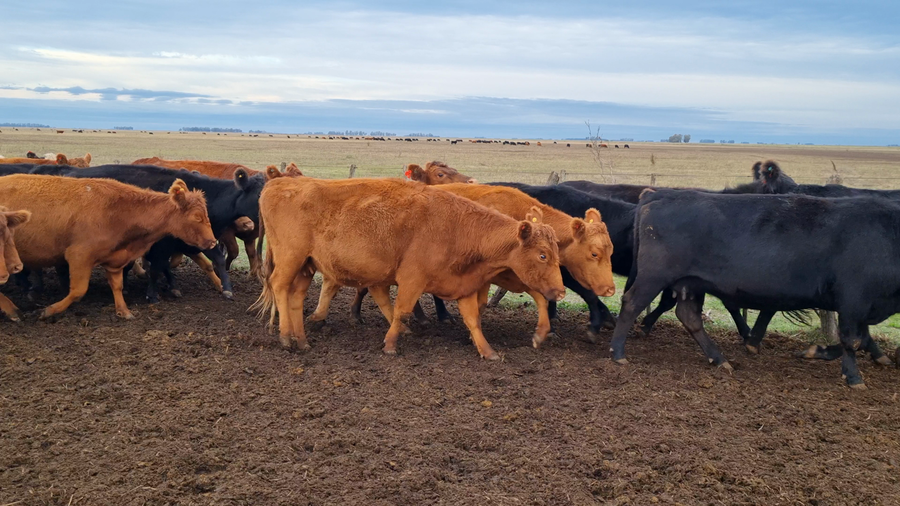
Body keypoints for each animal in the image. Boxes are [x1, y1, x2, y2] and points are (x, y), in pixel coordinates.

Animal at [0, 175, 215, 321]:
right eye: (197, 217)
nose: (213, 241)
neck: (118, 210)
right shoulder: (79, 256)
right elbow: (78, 291)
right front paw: (48, 311)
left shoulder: (115, 259)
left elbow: (117, 286)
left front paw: (124, 311)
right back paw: (13, 310)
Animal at [252, 177, 566, 359]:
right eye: (542, 255)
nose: (561, 291)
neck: (458, 227)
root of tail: (277, 184)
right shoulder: (413, 279)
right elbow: (401, 310)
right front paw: (391, 345)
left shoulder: (463, 285)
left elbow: (473, 320)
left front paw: (488, 352)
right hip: (291, 258)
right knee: (279, 287)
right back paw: (285, 337)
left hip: (306, 266)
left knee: (295, 296)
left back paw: (302, 339)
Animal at [611, 189, 900, 388]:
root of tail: (659, 194)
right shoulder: (853, 300)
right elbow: (853, 340)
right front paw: (853, 376)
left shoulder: (862, 306)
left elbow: (861, 338)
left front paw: (819, 352)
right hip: (654, 276)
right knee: (631, 304)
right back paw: (617, 353)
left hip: (689, 283)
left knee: (689, 317)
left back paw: (719, 359)